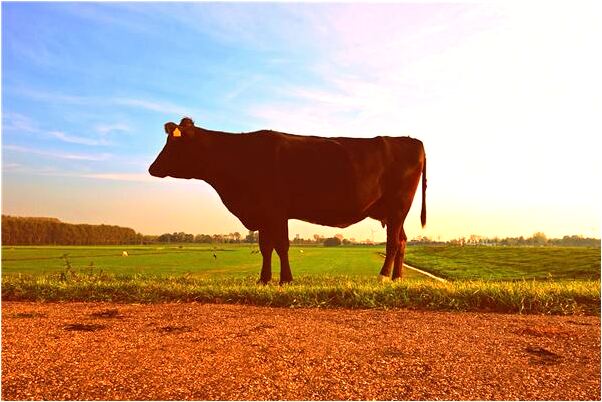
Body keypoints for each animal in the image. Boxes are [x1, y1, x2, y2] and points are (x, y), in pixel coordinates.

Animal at [148, 118, 424, 284]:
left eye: (173, 143)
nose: (152, 168)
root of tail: (411, 140)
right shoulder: (263, 214)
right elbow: (265, 247)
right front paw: (264, 279)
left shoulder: (275, 211)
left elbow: (281, 246)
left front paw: (286, 280)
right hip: (394, 212)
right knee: (402, 241)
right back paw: (397, 278)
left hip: (398, 206)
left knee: (392, 243)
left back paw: (383, 277)